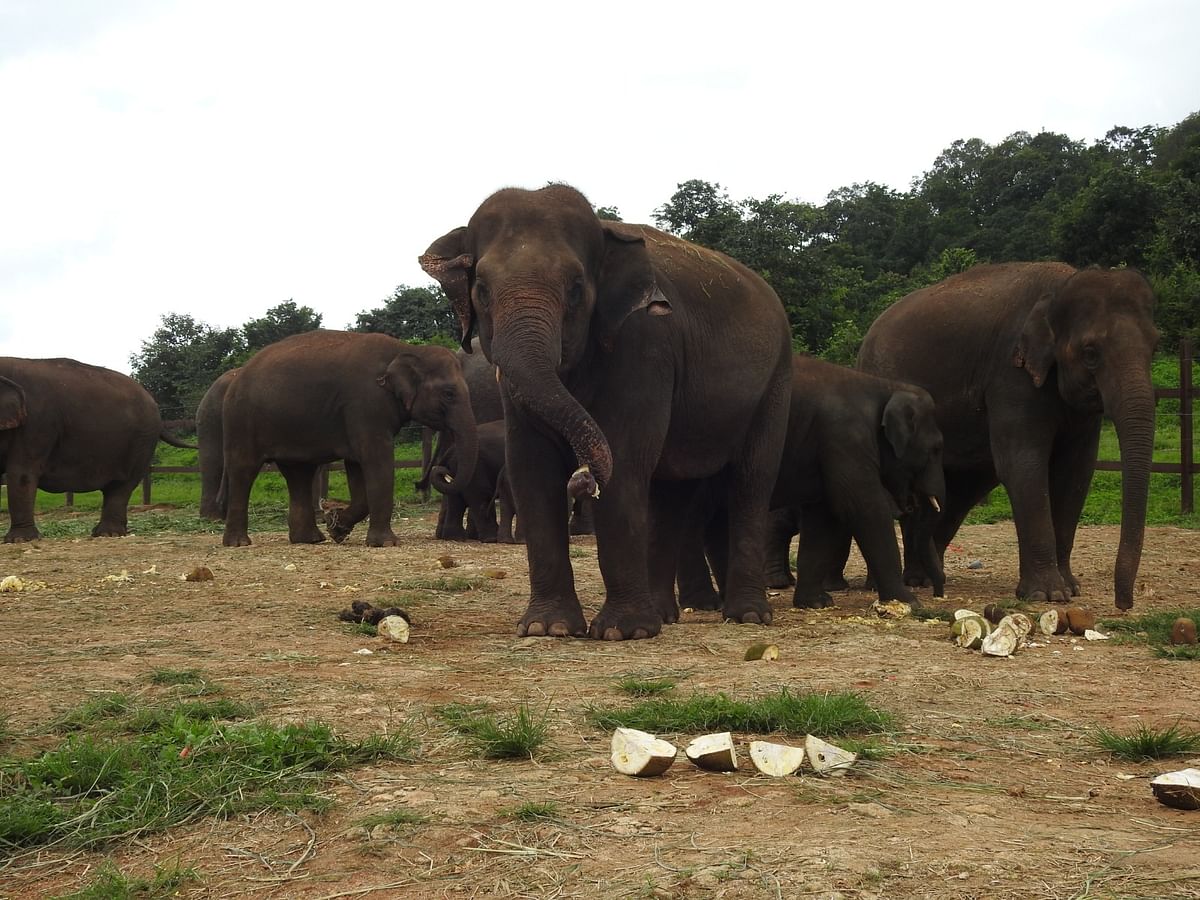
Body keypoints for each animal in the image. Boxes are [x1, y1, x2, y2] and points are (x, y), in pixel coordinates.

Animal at [1, 357, 194, 542]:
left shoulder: (37, 422)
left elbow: (22, 472)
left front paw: (19, 540)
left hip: (143, 439)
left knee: (122, 485)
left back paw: (108, 534)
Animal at [220, 328, 477, 547]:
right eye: (449, 393)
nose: (436, 473)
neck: (405, 349)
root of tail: (238, 375)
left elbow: (356, 467)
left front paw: (336, 527)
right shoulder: (365, 403)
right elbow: (376, 459)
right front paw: (385, 543)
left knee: (299, 474)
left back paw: (310, 539)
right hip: (240, 420)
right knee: (244, 470)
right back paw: (238, 543)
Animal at [422, 183, 796, 643]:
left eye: (576, 286)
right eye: (482, 290)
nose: (583, 478)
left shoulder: (645, 343)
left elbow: (626, 459)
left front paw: (621, 632)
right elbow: (531, 466)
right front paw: (547, 627)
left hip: (776, 383)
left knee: (751, 481)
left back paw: (746, 616)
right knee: (673, 491)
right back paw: (663, 615)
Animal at [676, 355, 945, 609]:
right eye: (936, 448)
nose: (937, 594)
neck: (885, 386)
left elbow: (822, 517)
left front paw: (816, 603)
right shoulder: (845, 440)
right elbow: (864, 507)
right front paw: (908, 603)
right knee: (693, 519)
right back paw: (706, 603)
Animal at [859, 262, 1156, 614]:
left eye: (1156, 346)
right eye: (1090, 353)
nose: (1124, 603)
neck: (1060, 286)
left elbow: (1075, 473)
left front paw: (1071, 589)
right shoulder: (1009, 376)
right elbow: (1022, 465)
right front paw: (1048, 595)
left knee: (962, 488)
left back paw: (927, 578)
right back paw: (894, 583)